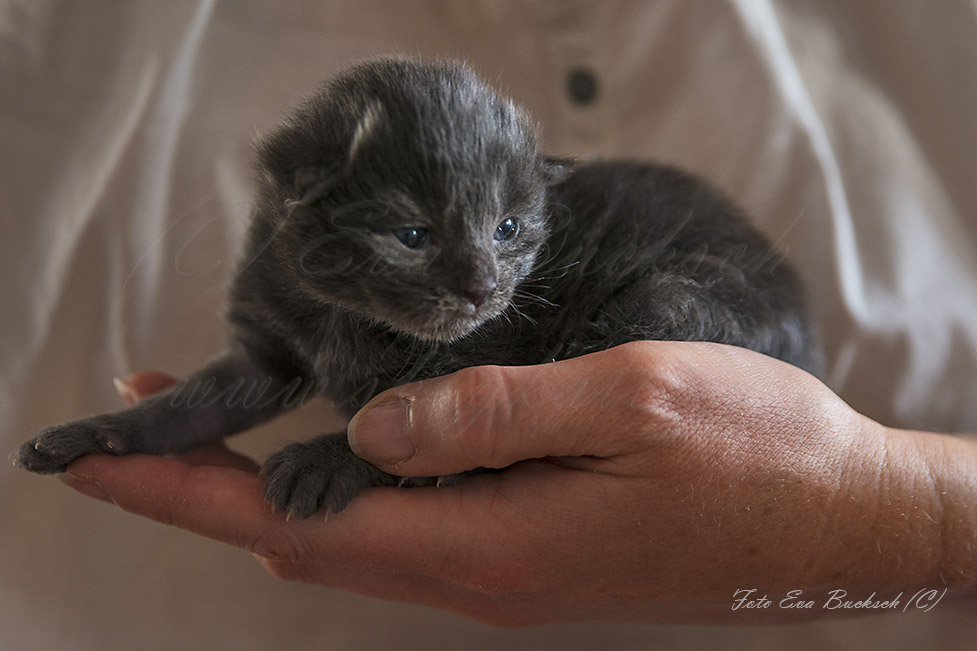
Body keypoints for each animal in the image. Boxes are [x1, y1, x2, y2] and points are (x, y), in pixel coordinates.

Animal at [13, 59, 816, 520]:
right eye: (412, 236)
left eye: (508, 226)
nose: (483, 290)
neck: (341, 312)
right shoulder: (265, 350)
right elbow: (188, 405)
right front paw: (93, 432)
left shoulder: (497, 347)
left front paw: (330, 459)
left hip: (671, 296)